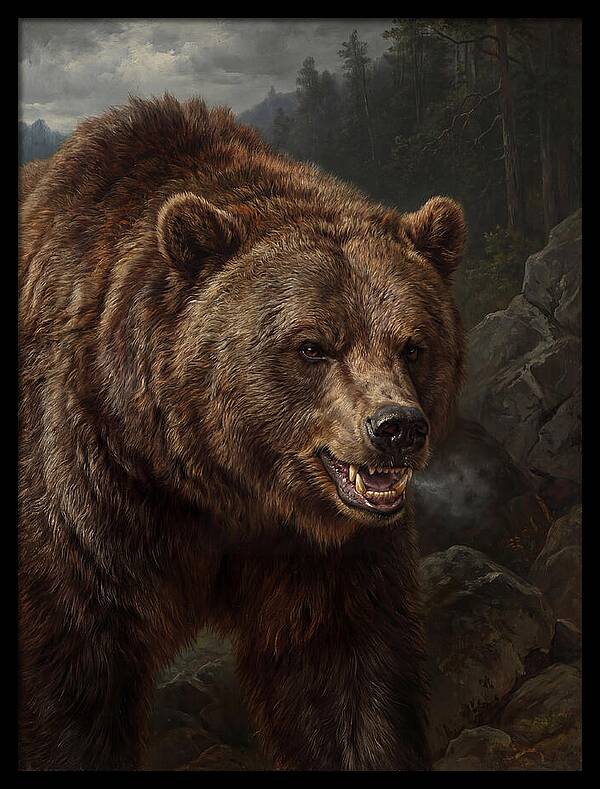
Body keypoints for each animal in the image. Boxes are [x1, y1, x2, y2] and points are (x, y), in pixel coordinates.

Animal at [18, 94, 466, 771]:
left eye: (413, 344)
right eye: (313, 346)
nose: (396, 428)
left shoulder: (322, 556)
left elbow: (347, 682)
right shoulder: (86, 498)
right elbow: (72, 685)